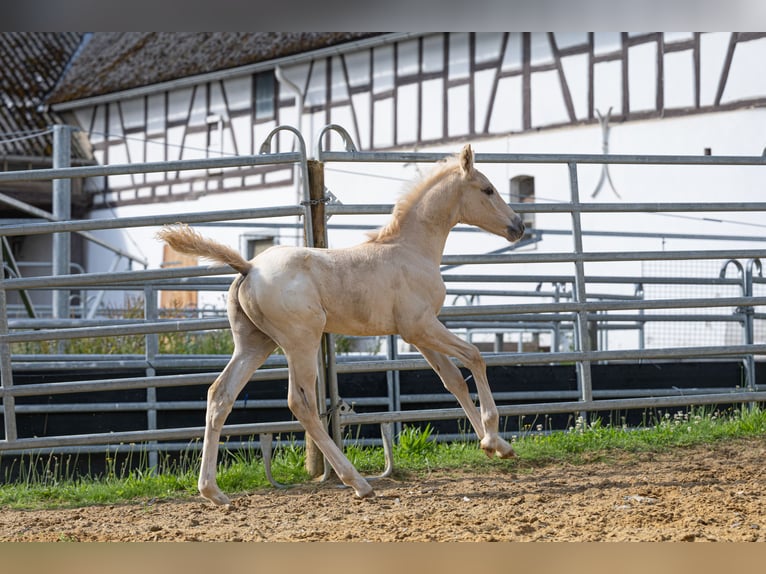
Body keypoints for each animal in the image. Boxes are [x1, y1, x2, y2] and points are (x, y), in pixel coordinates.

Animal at [158, 146, 528, 506]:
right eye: (488, 189)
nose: (519, 226)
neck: (411, 250)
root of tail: (249, 267)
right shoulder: (420, 326)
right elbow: (475, 356)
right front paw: (492, 437)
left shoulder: (418, 334)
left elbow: (452, 380)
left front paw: (497, 446)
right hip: (301, 341)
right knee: (300, 404)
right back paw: (358, 482)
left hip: (255, 343)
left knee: (220, 395)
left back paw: (213, 491)